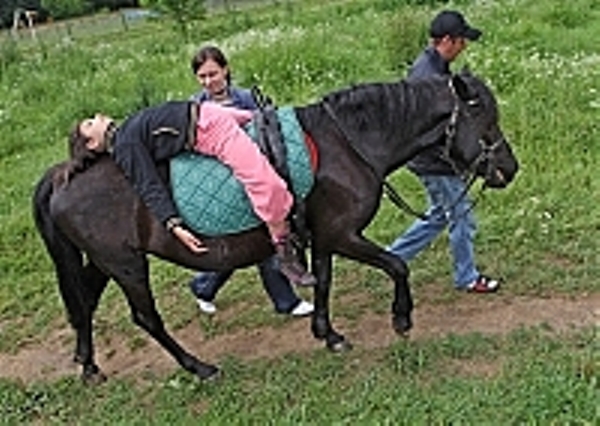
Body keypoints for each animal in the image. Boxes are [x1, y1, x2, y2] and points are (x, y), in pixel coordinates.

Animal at [32, 70, 516, 382]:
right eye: (486, 120)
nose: (509, 169)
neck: (348, 143)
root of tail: (62, 175)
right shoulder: (343, 234)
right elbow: (397, 265)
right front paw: (401, 318)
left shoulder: (323, 236)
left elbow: (324, 281)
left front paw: (328, 334)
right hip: (127, 265)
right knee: (146, 318)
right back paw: (200, 367)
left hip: (105, 261)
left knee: (84, 303)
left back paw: (89, 366)